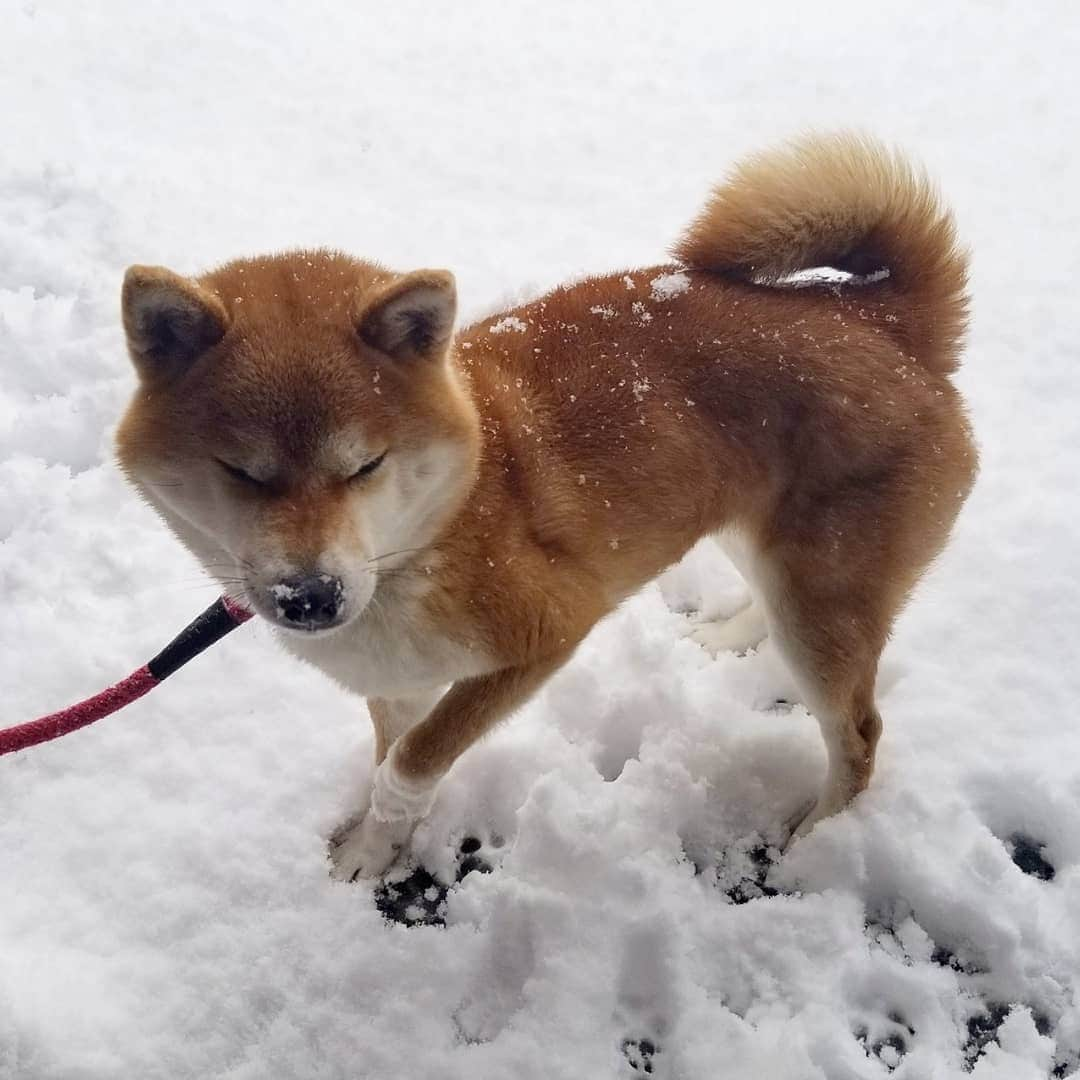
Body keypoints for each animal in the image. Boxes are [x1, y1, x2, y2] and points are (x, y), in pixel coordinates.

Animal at [118, 132, 980, 876]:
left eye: (365, 465)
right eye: (243, 472)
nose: (311, 597)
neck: (432, 536)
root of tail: (881, 319)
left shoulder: (546, 636)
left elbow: (410, 763)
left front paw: (381, 828)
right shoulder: (399, 682)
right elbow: (391, 757)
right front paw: (376, 847)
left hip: (823, 603)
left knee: (860, 735)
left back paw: (815, 843)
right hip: (760, 540)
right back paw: (721, 637)